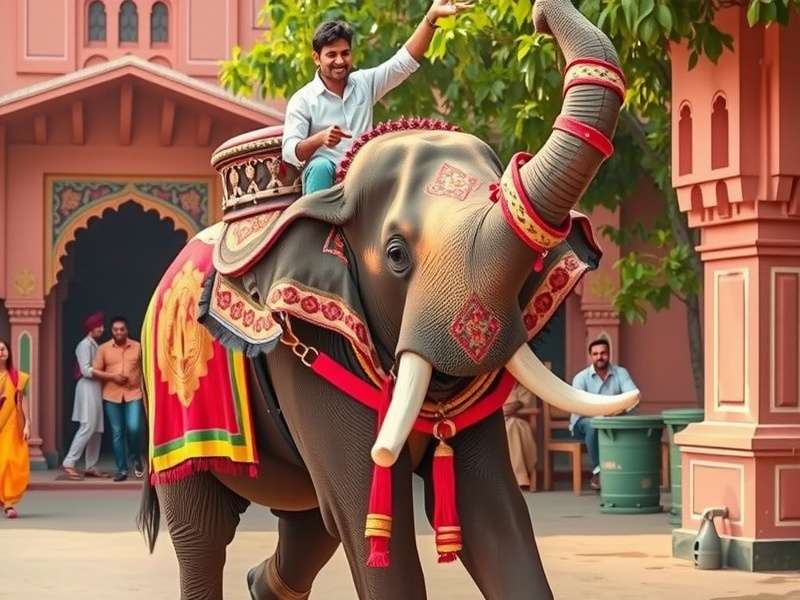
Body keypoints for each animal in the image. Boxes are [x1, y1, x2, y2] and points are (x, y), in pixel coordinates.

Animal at [137, 1, 638, 598]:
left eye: (532, 263)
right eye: (396, 254)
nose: (540, 16)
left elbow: (493, 511)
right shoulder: (306, 353)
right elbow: (369, 518)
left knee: (310, 520)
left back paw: (261, 582)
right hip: (177, 414)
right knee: (203, 529)